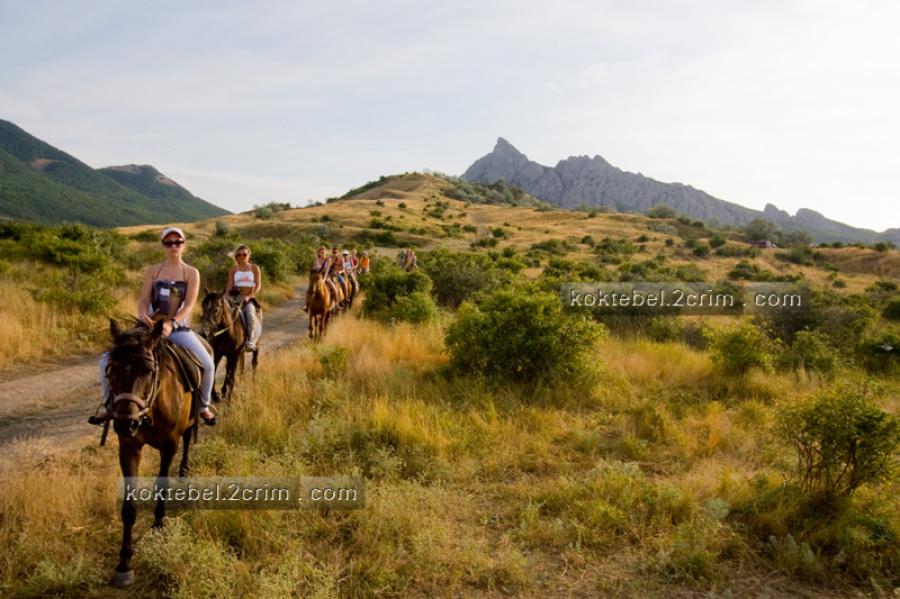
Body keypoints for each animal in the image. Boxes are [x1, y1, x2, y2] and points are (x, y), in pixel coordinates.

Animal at [106, 322, 198, 588]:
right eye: (112, 369)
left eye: (148, 370)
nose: (125, 424)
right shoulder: (129, 447)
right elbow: (128, 506)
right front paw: (124, 563)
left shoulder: (170, 445)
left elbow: (162, 485)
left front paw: (158, 527)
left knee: (189, 437)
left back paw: (184, 470)